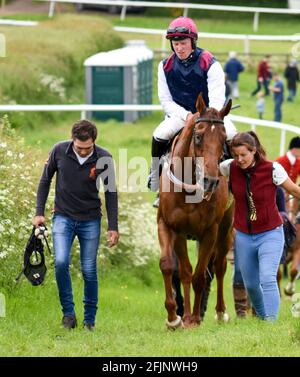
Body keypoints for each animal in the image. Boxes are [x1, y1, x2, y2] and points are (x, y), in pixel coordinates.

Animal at [158, 94, 233, 328]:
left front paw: (195, 318)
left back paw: (219, 311)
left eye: (224, 139)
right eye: (198, 137)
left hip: (226, 229)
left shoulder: (210, 231)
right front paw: (175, 317)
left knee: (219, 266)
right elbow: (176, 269)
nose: (210, 181)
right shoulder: (172, 227)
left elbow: (200, 275)